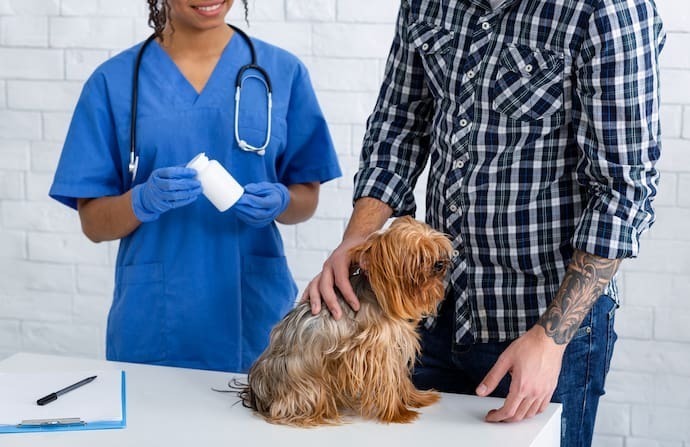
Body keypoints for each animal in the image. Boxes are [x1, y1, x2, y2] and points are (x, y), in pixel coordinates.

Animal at [236, 216, 452, 428]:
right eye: (419, 255)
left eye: (436, 247)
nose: (440, 264)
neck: (379, 296)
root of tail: (258, 392)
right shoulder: (376, 351)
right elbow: (388, 381)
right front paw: (399, 413)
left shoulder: (392, 346)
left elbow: (400, 378)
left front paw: (417, 398)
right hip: (307, 383)